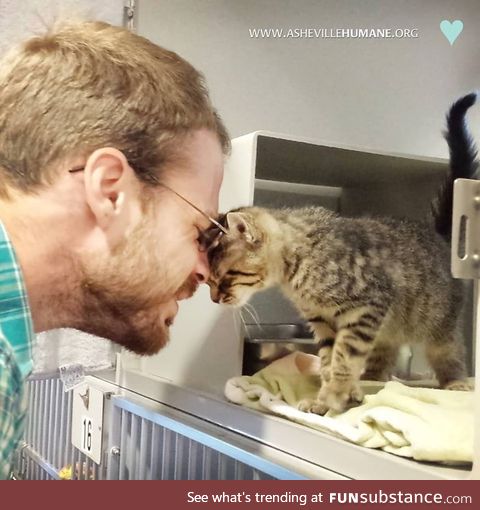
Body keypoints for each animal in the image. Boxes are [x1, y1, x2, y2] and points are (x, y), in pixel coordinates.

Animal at [208, 94, 478, 414]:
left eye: (225, 276)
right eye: (207, 280)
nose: (215, 299)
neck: (297, 268)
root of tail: (436, 235)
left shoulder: (366, 306)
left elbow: (344, 356)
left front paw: (335, 394)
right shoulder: (323, 322)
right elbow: (328, 358)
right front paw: (329, 395)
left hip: (438, 323)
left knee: (449, 351)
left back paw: (456, 382)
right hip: (387, 330)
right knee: (383, 357)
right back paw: (371, 379)